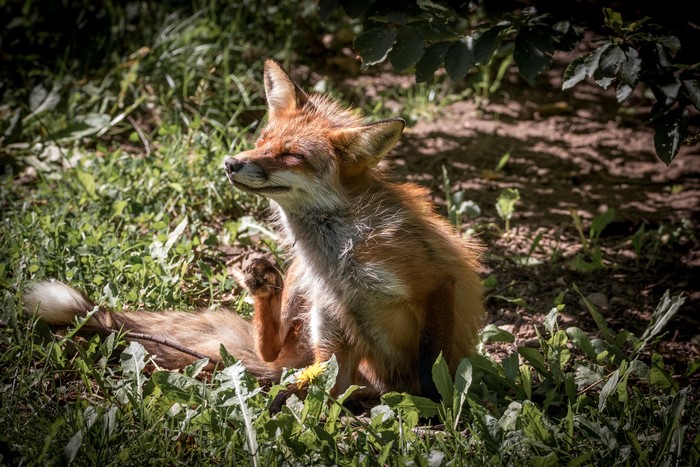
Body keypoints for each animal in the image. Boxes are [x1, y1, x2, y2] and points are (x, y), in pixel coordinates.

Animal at [24, 59, 485, 399]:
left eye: (293, 155)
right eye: (263, 139)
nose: (231, 163)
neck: (341, 251)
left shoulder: (434, 282)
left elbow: (433, 364)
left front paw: (438, 408)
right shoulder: (335, 324)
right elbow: (315, 374)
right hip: (320, 311)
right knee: (288, 361)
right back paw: (266, 301)